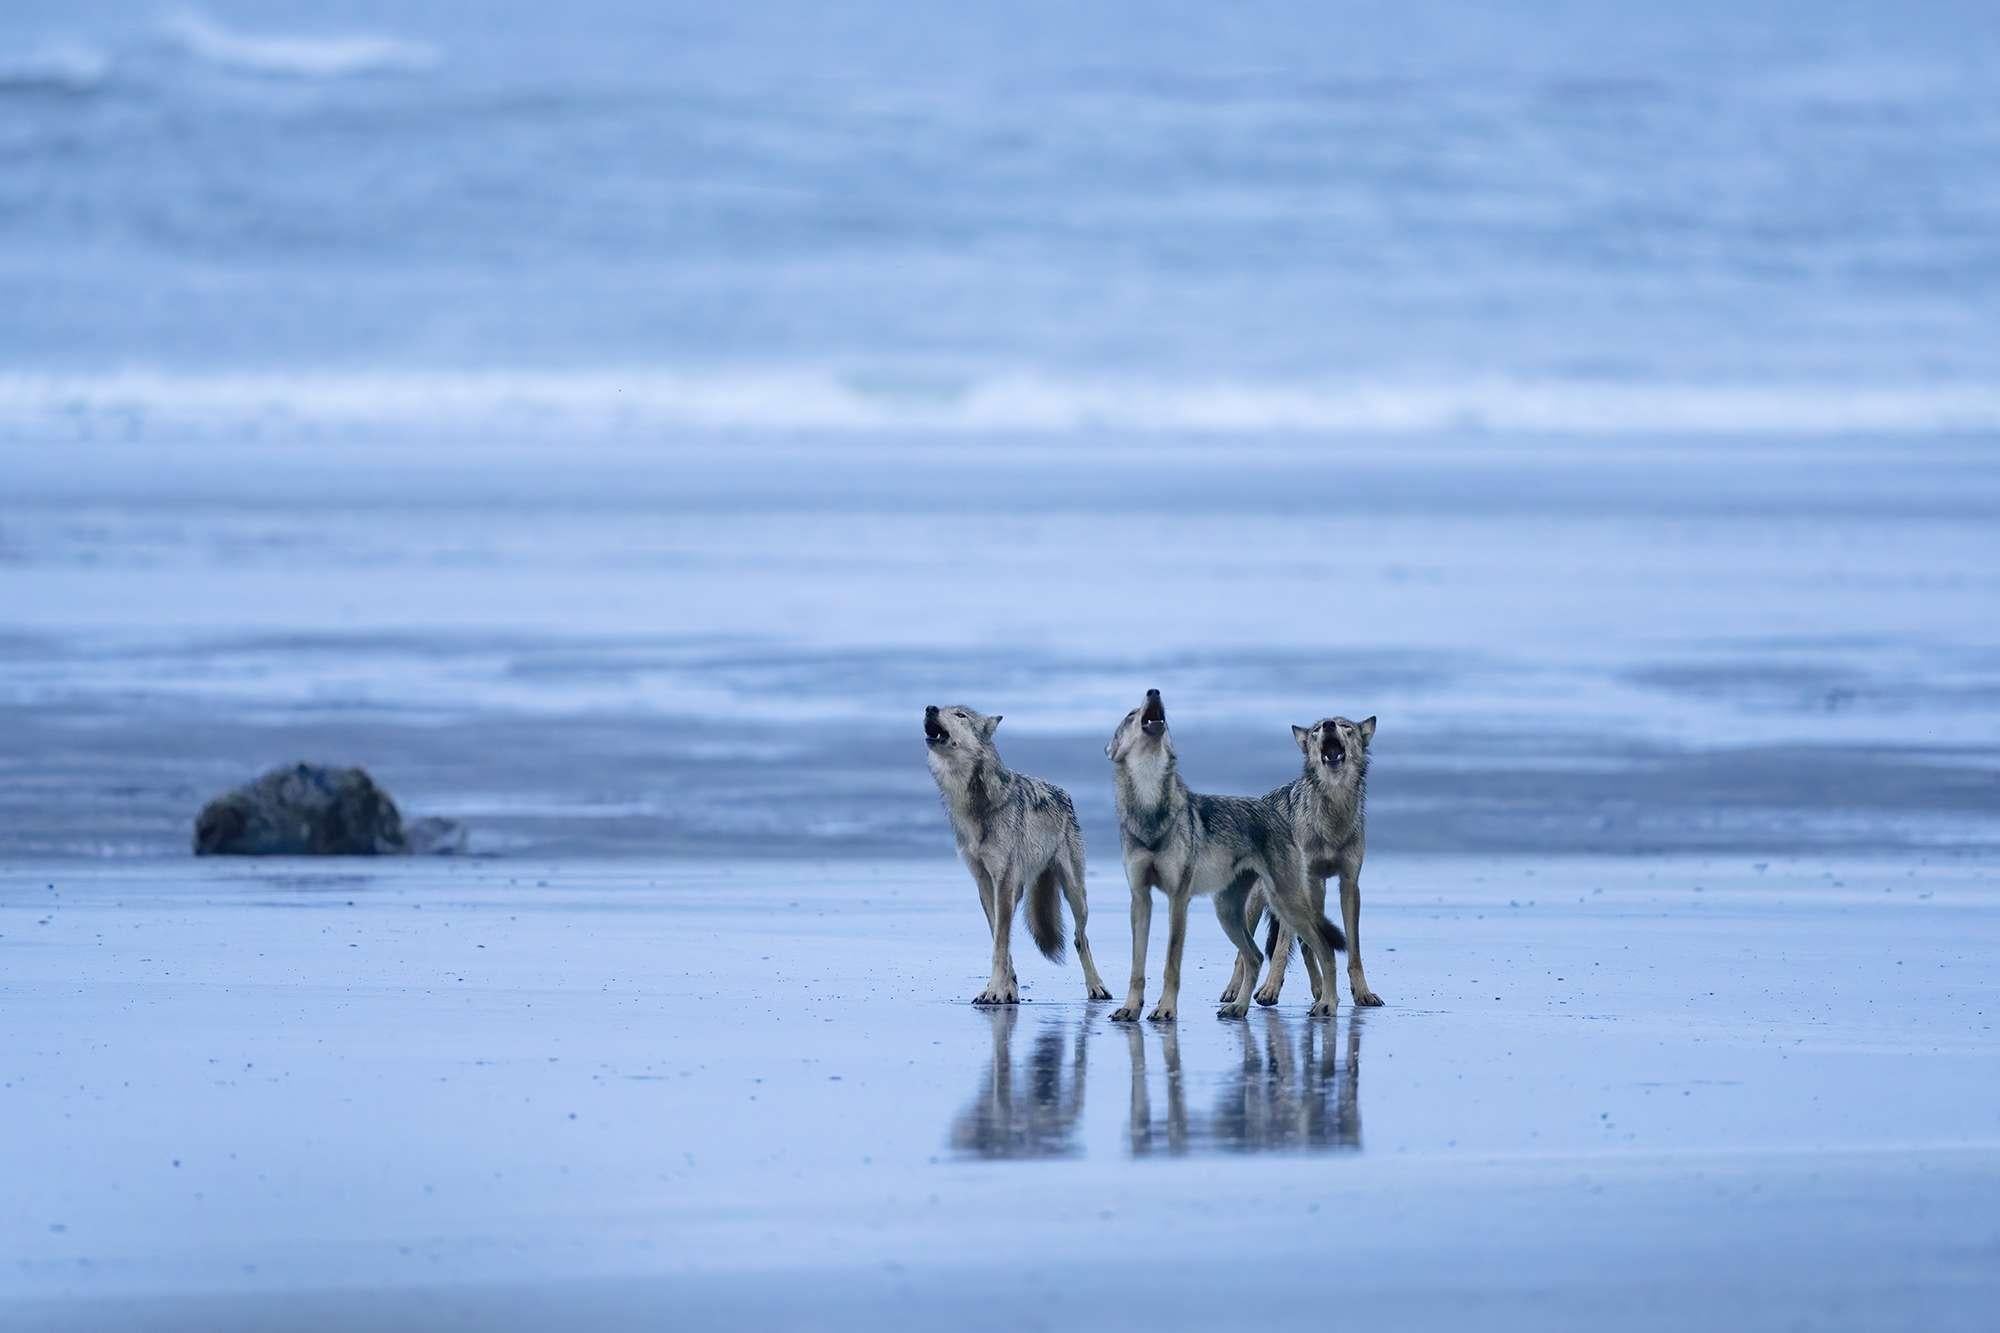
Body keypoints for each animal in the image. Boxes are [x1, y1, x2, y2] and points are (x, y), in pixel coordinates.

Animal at [920, 700, 1112, 1000]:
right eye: (942, 708)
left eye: (960, 715)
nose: (930, 707)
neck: (973, 805)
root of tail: (1065, 793)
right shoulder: (986, 882)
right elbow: (998, 938)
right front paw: (1003, 990)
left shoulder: (1004, 880)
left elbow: (1000, 943)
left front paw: (996, 991)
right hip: (1023, 890)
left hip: (1075, 893)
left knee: (1081, 938)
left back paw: (1097, 986)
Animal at [1104, 684, 1352, 1016]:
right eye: (1131, 715)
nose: (1153, 691)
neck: (1150, 809)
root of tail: (1275, 810)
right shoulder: (1140, 899)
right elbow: (1137, 965)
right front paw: (1130, 1009)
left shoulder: (1178, 899)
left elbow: (1171, 963)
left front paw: (1166, 1010)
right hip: (1228, 912)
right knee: (1255, 956)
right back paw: (1238, 1007)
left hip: (1285, 904)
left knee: (1324, 949)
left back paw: (1327, 1004)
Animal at [1216, 716, 1392, 1008]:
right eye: (1317, 730)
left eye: (1346, 727)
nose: (1330, 724)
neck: (1332, 819)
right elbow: (1279, 948)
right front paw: (1269, 990)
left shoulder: (1348, 884)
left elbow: (1352, 949)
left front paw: (1362, 993)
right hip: (1258, 903)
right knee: (1244, 952)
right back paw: (1233, 992)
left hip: (1314, 893)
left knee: (1308, 943)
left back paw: (1320, 990)